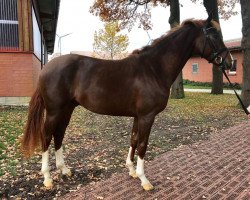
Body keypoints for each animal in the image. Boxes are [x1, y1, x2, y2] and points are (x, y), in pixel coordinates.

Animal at [21, 16, 234, 191]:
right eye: (214, 36)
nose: (230, 62)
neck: (153, 69)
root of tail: (47, 68)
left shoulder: (138, 116)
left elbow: (133, 139)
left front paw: (131, 170)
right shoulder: (147, 116)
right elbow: (142, 144)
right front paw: (144, 180)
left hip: (67, 109)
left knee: (59, 135)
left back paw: (64, 169)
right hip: (54, 111)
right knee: (46, 137)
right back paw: (47, 178)